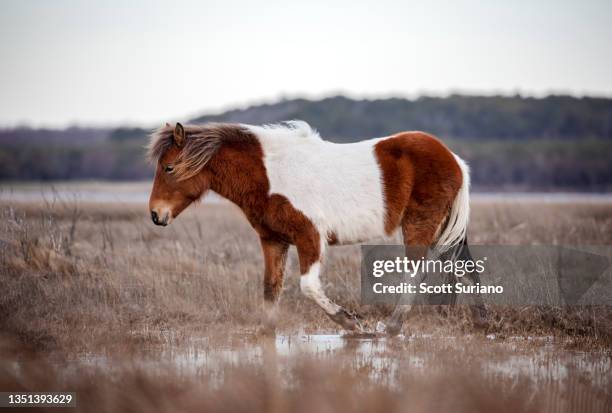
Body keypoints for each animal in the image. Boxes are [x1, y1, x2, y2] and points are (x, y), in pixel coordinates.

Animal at [146, 120, 486, 334]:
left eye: (169, 168)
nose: (155, 214)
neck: (269, 176)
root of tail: (454, 159)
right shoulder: (273, 241)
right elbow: (271, 287)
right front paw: (266, 331)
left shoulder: (309, 236)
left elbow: (308, 287)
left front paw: (350, 323)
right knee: (467, 270)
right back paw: (480, 322)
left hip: (419, 226)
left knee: (415, 275)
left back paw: (391, 328)